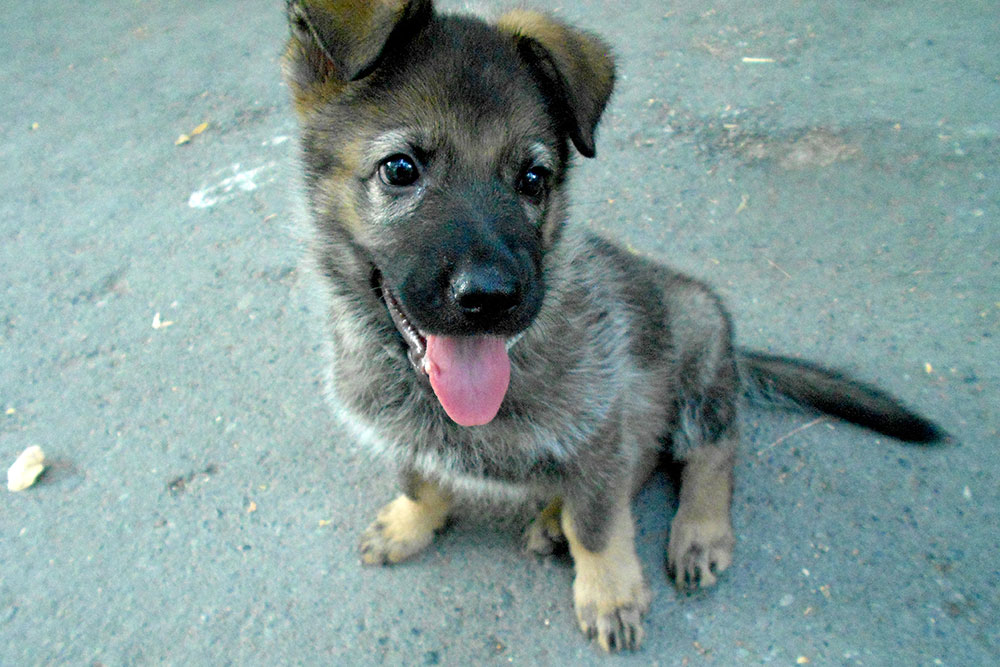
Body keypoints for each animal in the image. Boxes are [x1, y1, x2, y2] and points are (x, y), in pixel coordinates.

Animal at [282, 0, 944, 652]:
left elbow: (599, 526)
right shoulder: (414, 437)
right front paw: (409, 523)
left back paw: (698, 531)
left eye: (533, 179)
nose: (494, 298)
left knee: (712, 447)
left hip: (699, 345)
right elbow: (422, 479)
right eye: (400, 169)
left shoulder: (598, 428)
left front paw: (608, 594)